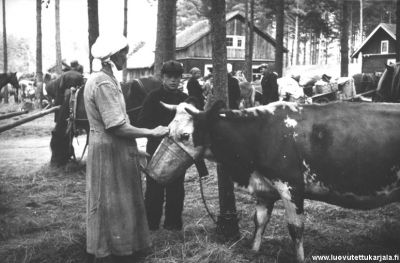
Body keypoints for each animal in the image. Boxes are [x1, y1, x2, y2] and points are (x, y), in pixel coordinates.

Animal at [148, 100, 400, 262]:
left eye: (185, 135)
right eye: (167, 130)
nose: (151, 172)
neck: (259, 134)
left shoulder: (291, 186)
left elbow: (296, 228)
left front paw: (300, 258)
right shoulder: (264, 190)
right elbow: (259, 221)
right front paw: (253, 252)